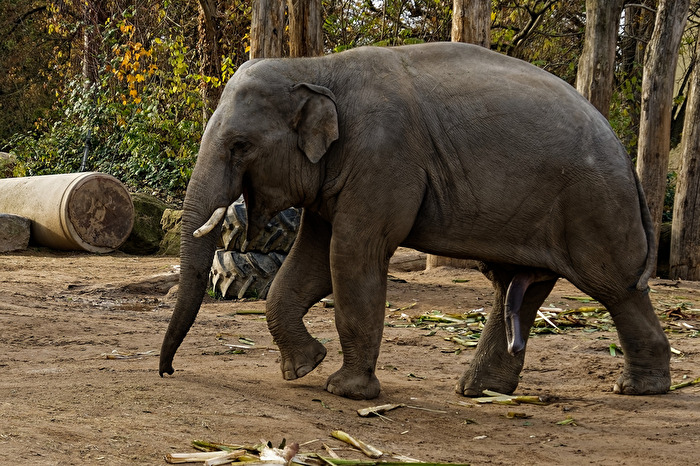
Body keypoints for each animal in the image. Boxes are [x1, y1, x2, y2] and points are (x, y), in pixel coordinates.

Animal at [159, 42, 671, 400]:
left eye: (240, 145)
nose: (168, 371)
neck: (314, 67)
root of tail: (622, 150)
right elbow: (311, 264)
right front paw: (303, 368)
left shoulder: (383, 158)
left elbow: (352, 255)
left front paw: (344, 390)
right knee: (519, 288)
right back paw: (479, 392)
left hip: (594, 205)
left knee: (614, 287)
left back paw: (637, 389)